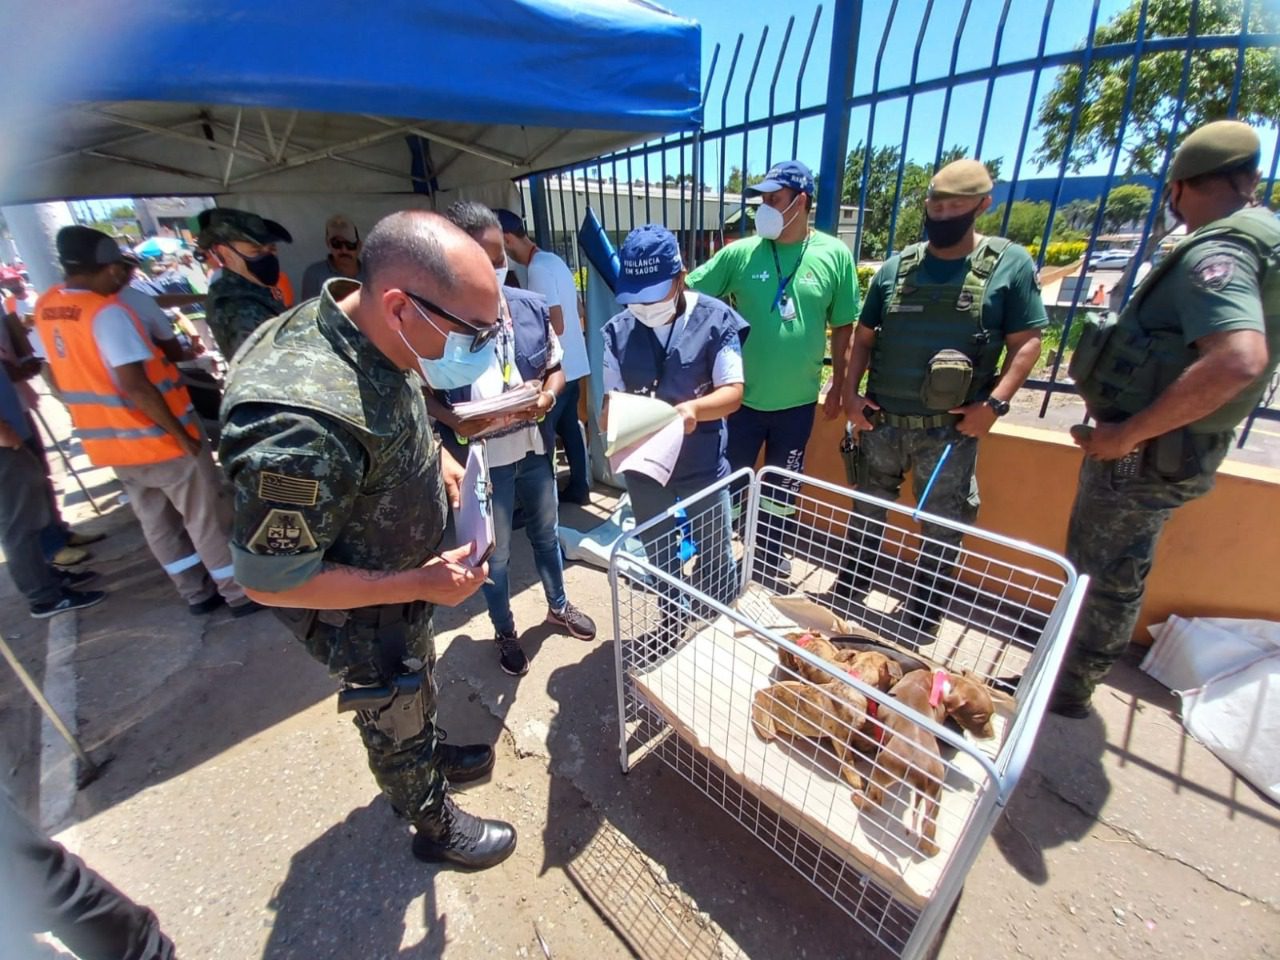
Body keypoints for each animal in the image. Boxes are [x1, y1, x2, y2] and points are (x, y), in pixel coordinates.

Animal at [860, 670, 998, 860]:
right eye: (980, 717)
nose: (992, 736)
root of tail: (921, 772)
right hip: (934, 795)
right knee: (929, 824)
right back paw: (931, 849)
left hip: (883, 770)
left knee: (876, 796)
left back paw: (861, 801)